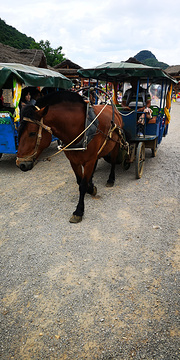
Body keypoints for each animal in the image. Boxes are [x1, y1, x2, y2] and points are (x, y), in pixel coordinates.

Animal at [16, 90, 124, 222]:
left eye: (32, 133)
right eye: (19, 131)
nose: (21, 164)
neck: (80, 128)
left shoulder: (89, 160)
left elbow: (82, 185)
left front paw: (79, 210)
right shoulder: (73, 161)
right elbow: (79, 181)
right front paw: (91, 187)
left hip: (115, 144)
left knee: (113, 161)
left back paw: (111, 179)